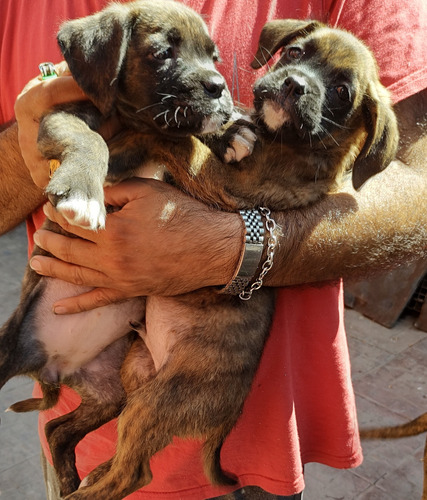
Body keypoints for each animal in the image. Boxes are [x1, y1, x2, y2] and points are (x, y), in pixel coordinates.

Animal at [0, 11, 402, 500]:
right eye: (294, 53)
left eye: (342, 91)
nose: (294, 84)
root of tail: (57, 366)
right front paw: (226, 126)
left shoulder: (224, 185)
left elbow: (174, 138)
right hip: (127, 382)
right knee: (66, 433)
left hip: (155, 400)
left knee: (134, 472)